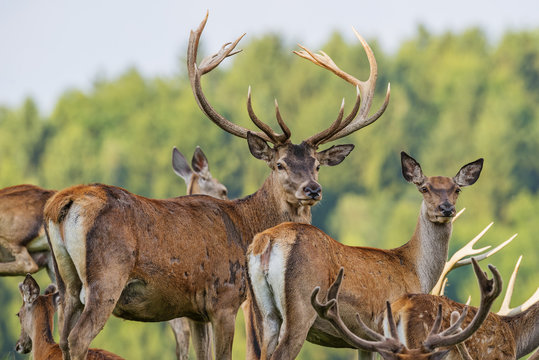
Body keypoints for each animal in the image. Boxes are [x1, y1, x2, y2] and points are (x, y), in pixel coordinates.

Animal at [41, 11, 388, 360]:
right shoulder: (224, 298)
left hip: (66, 283)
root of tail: (62, 204)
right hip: (106, 277)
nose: (312, 190)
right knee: (79, 338)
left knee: (63, 337)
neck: (246, 226)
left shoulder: (193, 310)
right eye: (279, 164)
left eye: (317, 165)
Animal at [247, 150, 484, 358]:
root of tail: (267, 241)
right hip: (301, 307)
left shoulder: (366, 341)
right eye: (424, 188)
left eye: (457, 189)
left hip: (263, 313)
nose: (446, 208)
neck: (414, 269)